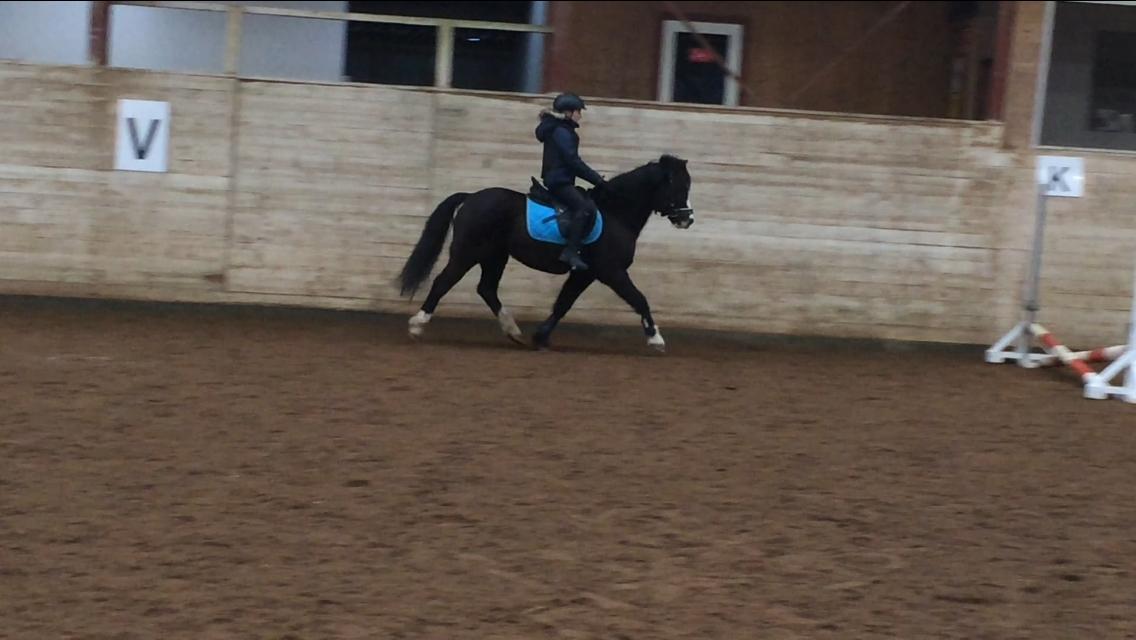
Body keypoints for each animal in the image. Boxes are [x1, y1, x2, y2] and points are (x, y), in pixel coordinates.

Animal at [395, 154, 695, 352]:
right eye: (679, 186)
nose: (687, 219)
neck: (616, 212)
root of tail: (471, 197)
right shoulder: (612, 271)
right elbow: (639, 299)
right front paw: (656, 338)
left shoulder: (585, 274)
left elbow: (563, 304)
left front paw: (540, 337)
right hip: (468, 252)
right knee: (443, 282)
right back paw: (417, 324)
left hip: (495, 256)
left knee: (487, 289)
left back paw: (513, 331)